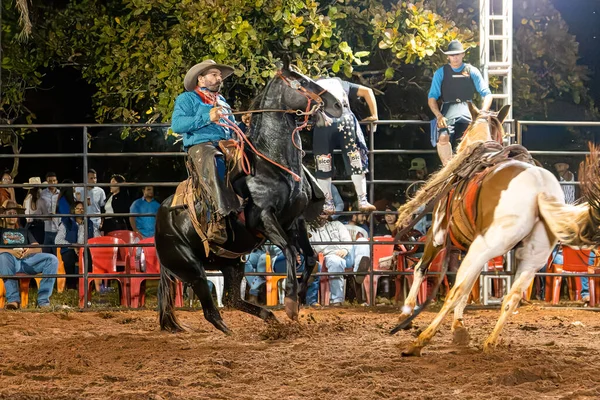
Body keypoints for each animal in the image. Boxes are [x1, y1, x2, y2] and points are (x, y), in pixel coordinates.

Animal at [155, 65, 342, 334]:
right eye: (301, 82)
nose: (337, 104)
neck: (270, 163)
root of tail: (160, 216)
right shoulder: (263, 219)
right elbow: (289, 249)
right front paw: (291, 302)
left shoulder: (294, 221)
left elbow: (310, 257)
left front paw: (300, 299)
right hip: (190, 266)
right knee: (210, 309)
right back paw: (232, 332)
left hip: (231, 264)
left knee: (232, 299)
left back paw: (269, 317)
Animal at [392, 106, 600, 356]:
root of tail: (540, 188)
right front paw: (459, 327)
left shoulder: (438, 234)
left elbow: (421, 270)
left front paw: (406, 313)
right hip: (530, 257)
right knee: (511, 297)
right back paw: (489, 342)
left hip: (483, 246)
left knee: (456, 290)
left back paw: (419, 342)